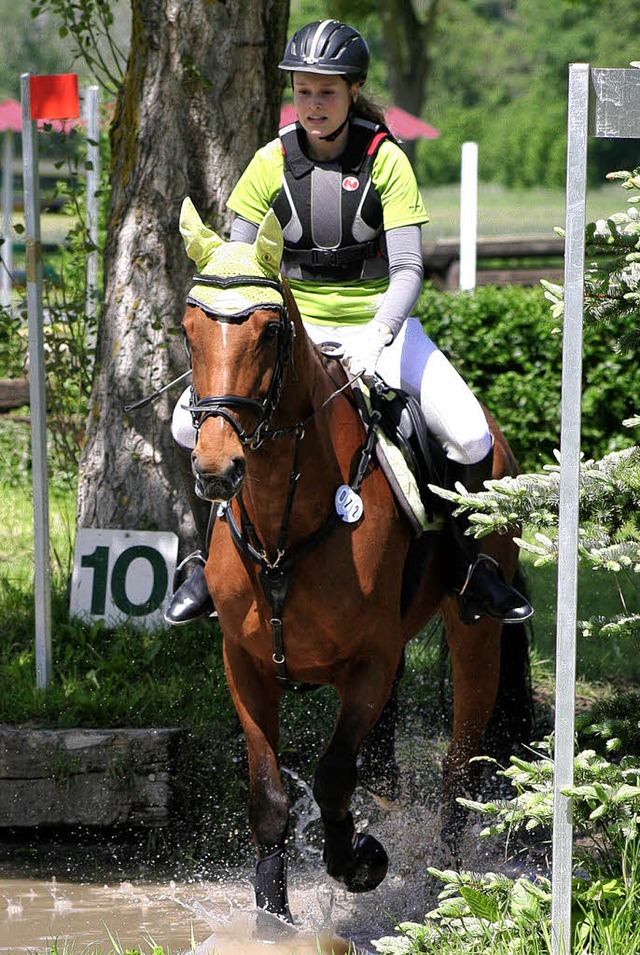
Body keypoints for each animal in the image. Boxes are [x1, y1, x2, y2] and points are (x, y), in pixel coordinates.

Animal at [178, 198, 532, 924]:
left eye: (269, 332)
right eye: (189, 330)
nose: (216, 470)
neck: (285, 520)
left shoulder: (370, 658)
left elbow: (334, 774)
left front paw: (360, 861)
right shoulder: (244, 663)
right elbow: (269, 794)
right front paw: (272, 917)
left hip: (474, 630)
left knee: (459, 761)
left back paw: (443, 887)